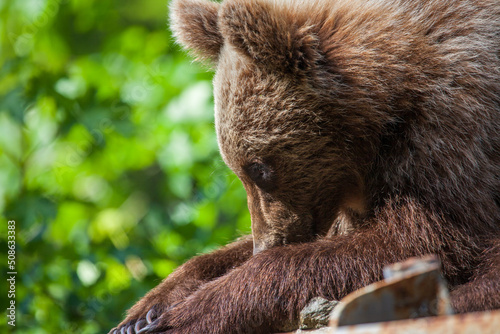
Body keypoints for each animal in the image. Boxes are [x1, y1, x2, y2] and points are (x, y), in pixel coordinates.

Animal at [110, 0, 500, 332]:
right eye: (237, 171)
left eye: (258, 169)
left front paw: (182, 317)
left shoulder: (449, 141)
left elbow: (420, 240)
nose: (265, 245)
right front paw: (143, 314)